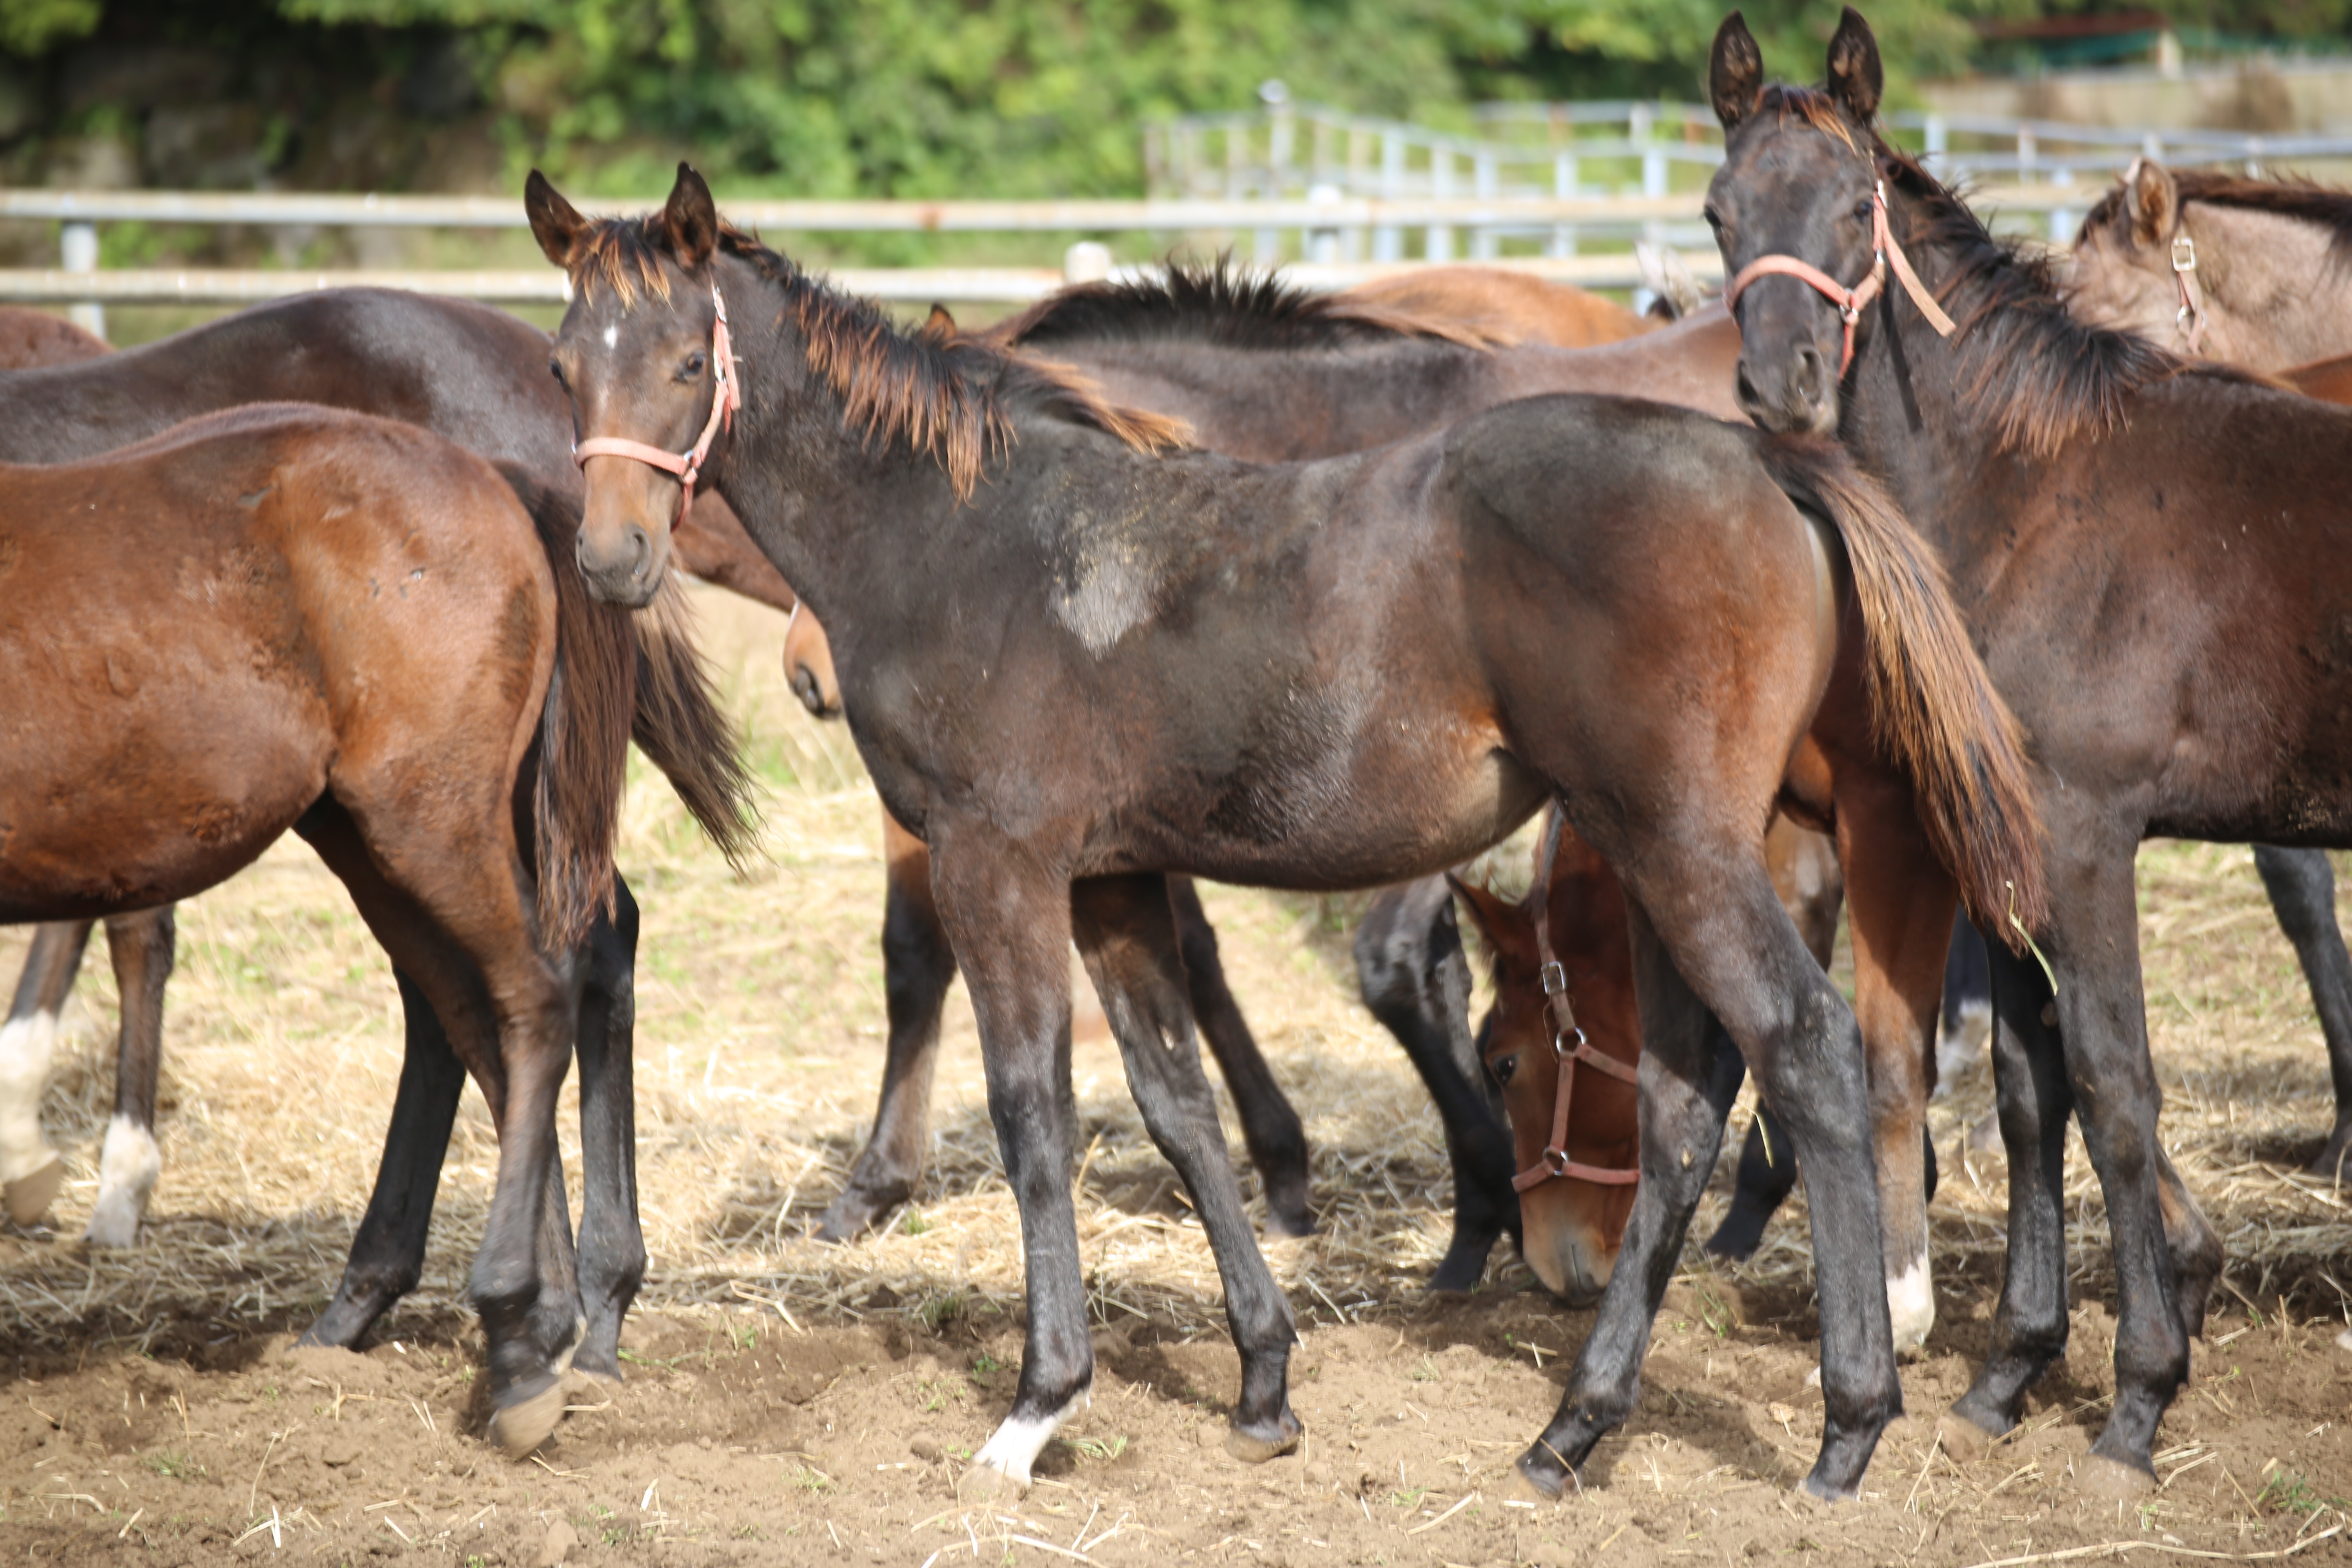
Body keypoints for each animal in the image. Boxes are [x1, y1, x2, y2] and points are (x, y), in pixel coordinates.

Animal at [0, 404, 639, 1457]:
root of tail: (494, 477)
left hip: (431, 820)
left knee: (535, 996)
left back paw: (515, 1334)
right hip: (366, 832)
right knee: (479, 1013)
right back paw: (532, 1323)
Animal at [534, 165, 2041, 1504]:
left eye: (687, 360)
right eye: (561, 367)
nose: (610, 558)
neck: (966, 541)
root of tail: (1770, 459)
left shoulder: (998, 864)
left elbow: (1033, 1109)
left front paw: (1038, 1406)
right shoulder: (1115, 880)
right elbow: (1179, 1107)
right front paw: (1264, 1383)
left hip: (1688, 849)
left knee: (1810, 1052)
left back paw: (1848, 1426)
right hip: (1675, 854)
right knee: (1681, 1104)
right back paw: (1574, 1430)